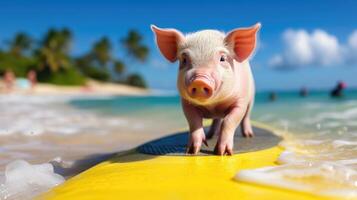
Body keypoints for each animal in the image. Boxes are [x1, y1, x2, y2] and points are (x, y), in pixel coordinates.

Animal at [150, 23, 258, 155]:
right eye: (184, 59)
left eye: (222, 58)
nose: (199, 80)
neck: (213, 106)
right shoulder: (186, 104)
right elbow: (194, 122)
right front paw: (191, 151)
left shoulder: (240, 101)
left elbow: (229, 121)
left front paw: (222, 153)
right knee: (216, 120)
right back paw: (211, 135)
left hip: (251, 97)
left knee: (246, 116)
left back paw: (248, 135)